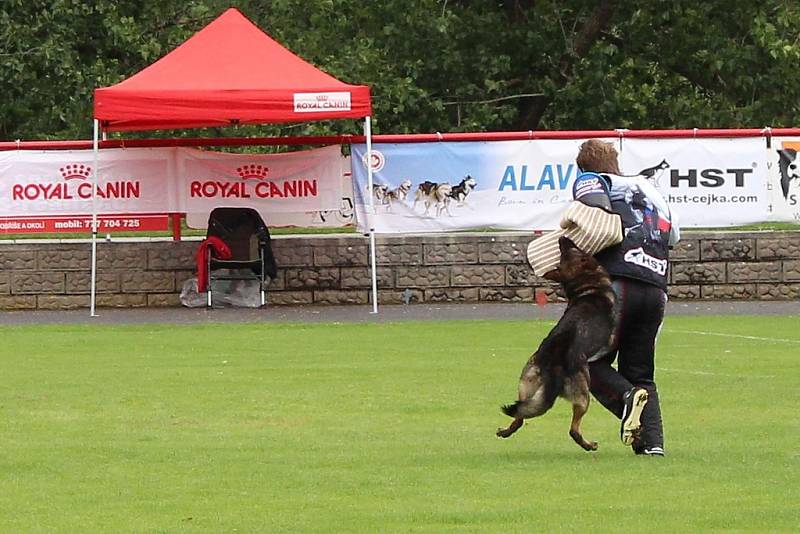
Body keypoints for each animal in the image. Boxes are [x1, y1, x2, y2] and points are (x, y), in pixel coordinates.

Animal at [496, 239, 616, 452]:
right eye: (577, 250)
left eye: (566, 252)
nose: (563, 238)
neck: (586, 285)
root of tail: (554, 363)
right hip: (583, 395)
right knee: (573, 430)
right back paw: (588, 445)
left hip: (526, 383)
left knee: (520, 415)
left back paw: (505, 431)